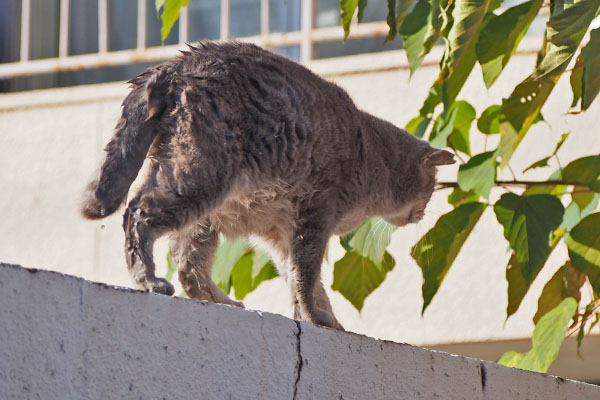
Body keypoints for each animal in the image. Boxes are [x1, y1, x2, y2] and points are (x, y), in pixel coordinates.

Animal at [81, 40, 454, 330]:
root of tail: (174, 66)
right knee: (138, 215)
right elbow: (306, 278)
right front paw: (316, 317)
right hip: (199, 179)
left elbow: (302, 281)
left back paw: (223, 301)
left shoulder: (282, 234)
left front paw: (324, 319)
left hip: (196, 204)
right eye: (431, 188)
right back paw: (149, 280)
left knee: (189, 267)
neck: (372, 154)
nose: (423, 213)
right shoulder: (314, 218)